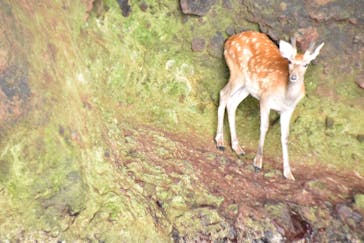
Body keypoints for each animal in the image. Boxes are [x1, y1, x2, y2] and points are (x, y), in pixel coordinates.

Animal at [213, 30, 324, 179]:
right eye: (290, 61)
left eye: (306, 64)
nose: (293, 77)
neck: (286, 96)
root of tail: (229, 41)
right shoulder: (265, 98)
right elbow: (264, 127)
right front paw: (257, 163)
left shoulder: (288, 110)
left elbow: (285, 136)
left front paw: (288, 173)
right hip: (237, 72)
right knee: (223, 94)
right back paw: (220, 142)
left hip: (247, 87)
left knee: (232, 103)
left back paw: (237, 147)